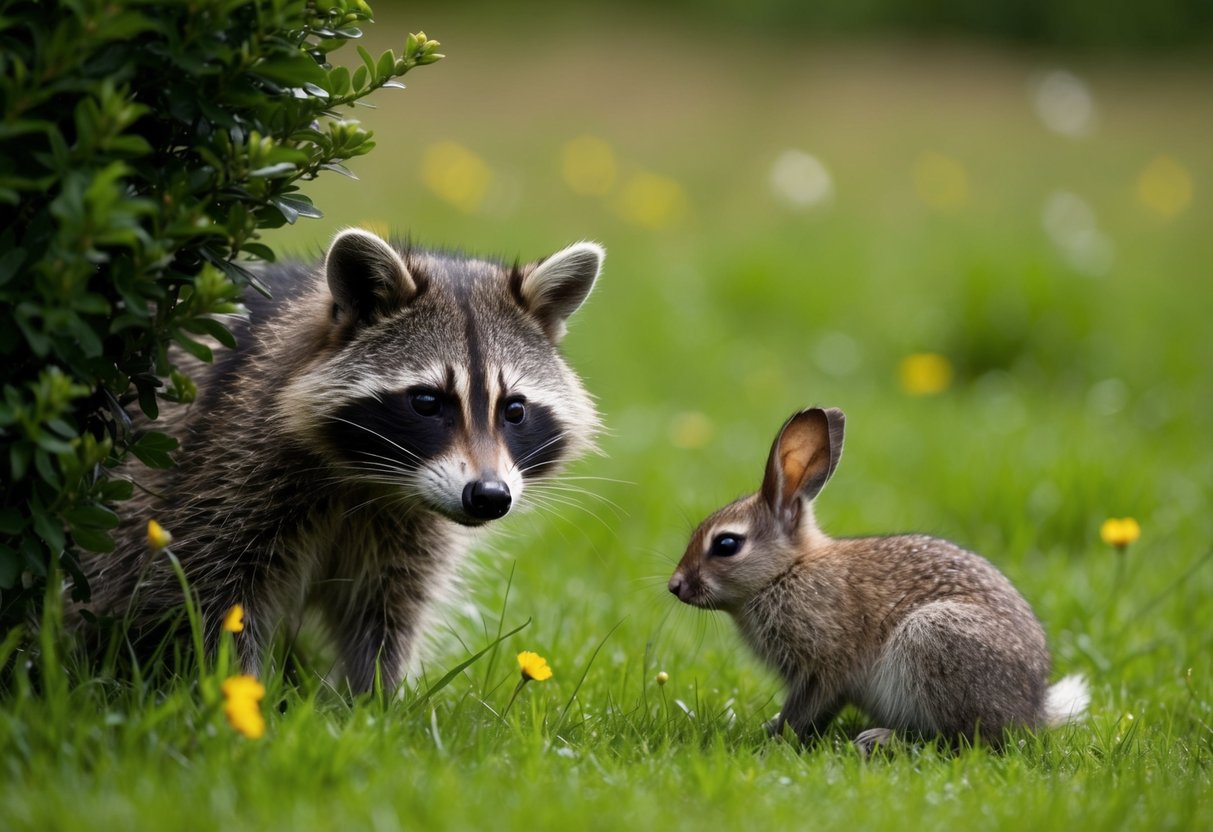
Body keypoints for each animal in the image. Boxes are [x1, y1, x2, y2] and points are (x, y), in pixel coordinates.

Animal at [80, 228, 603, 691]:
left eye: (514, 410)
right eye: (427, 402)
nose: (490, 496)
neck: (374, 482)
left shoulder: (411, 534)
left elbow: (388, 613)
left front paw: (373, 703)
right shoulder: (223, 468)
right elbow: (208, 593)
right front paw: (233, 692)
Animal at [668, 406, 1088, 752]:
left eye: (726, 544)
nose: (675, 586)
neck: (786, 571)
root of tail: (1032, 711)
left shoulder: (822, 668)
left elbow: (806, 708)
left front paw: (775, 738)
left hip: (932, 639)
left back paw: (881, 740)